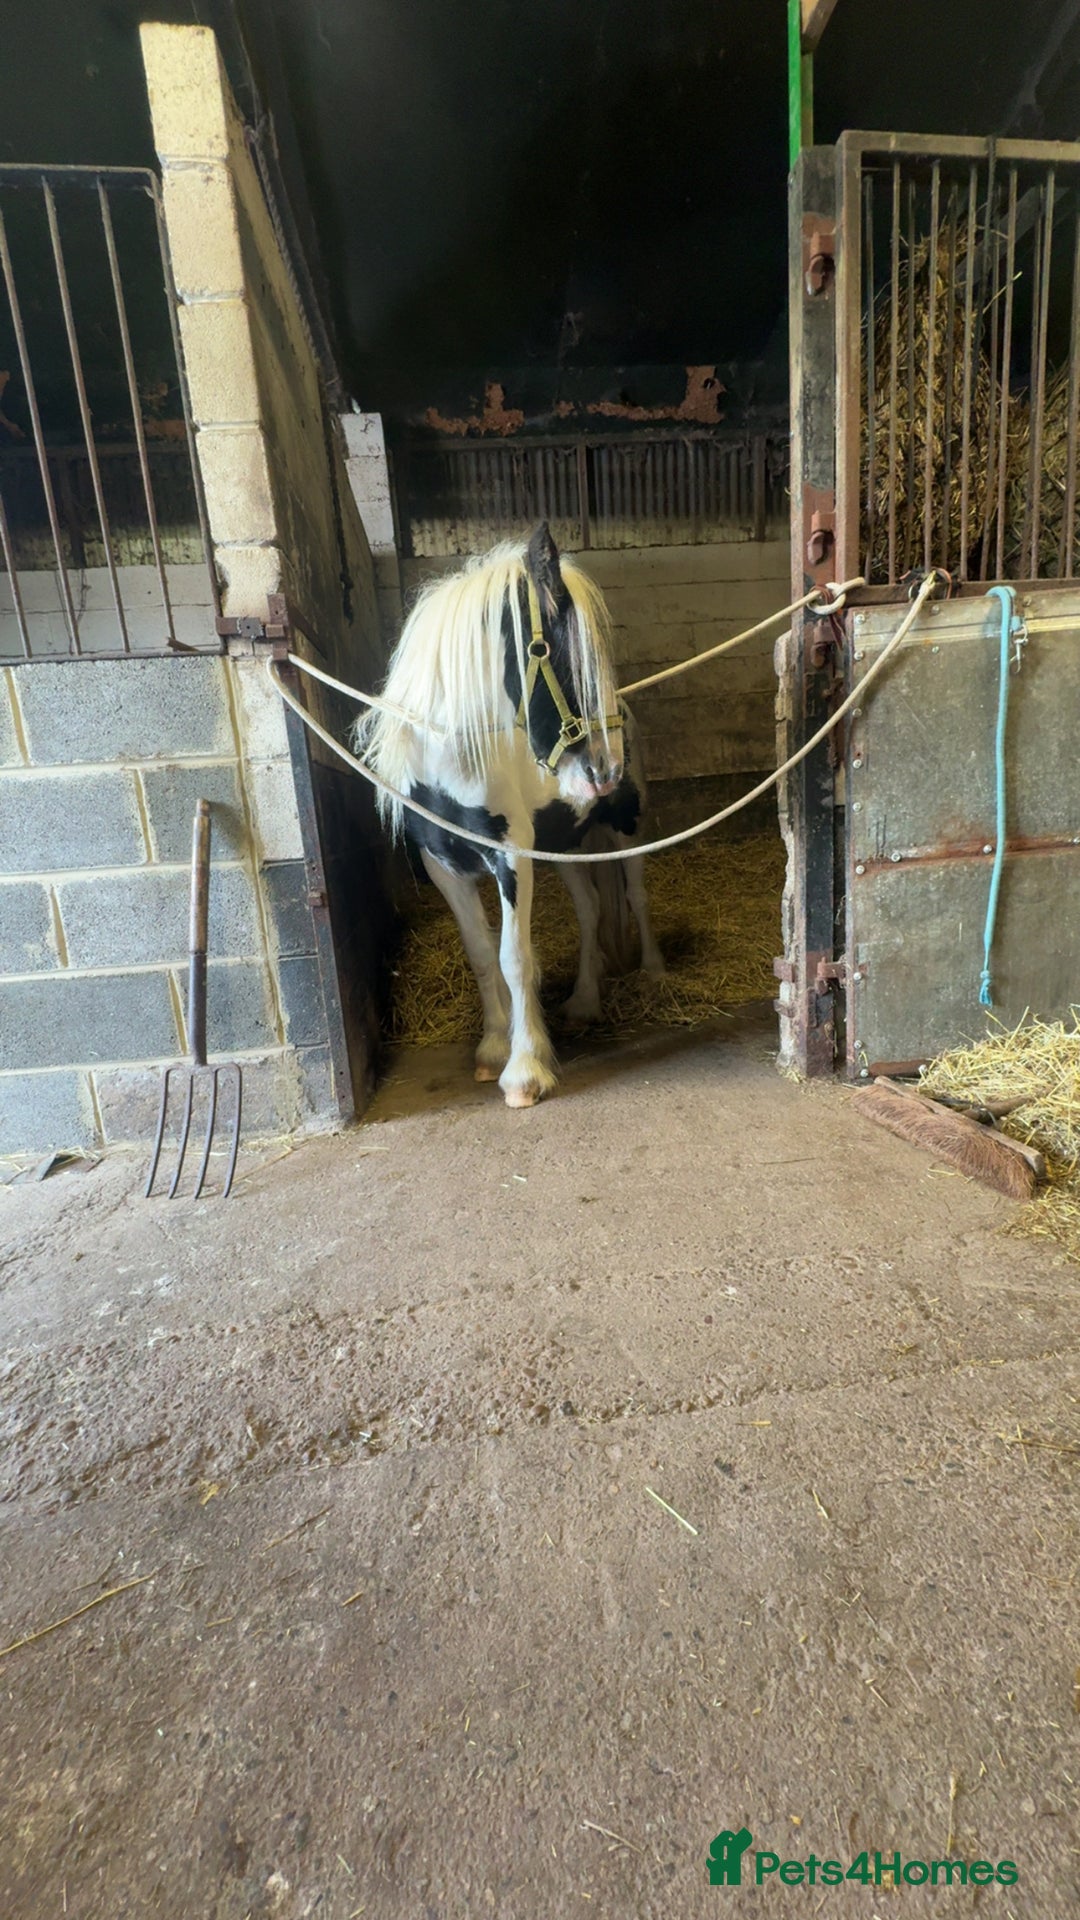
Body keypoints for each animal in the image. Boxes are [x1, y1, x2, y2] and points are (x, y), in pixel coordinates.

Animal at [359, 522, 664, 1108]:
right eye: (551, 648)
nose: (605, 768)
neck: (451, 766)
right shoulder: (442, 867)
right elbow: (481, 954)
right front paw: (493, 1047)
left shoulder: (510, 860)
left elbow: (514, 956)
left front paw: (525, 1072)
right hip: (567, 844)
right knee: (592, 910)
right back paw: (584, 1002)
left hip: (627, 827)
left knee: (636, 897)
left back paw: (655, 971)